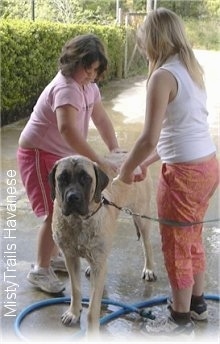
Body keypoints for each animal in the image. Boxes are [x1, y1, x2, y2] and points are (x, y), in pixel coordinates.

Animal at [49, 154, 156, 336]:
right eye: (62, 178)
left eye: (86, 178)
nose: (73, 197)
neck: (78, 221)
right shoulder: (70, 258)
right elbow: (75, 289)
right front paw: (73, 312)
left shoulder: (98, 263)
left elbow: (93, 308)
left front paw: (92, 334)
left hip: (142, 216)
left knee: (147, 244)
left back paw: (149, 268)